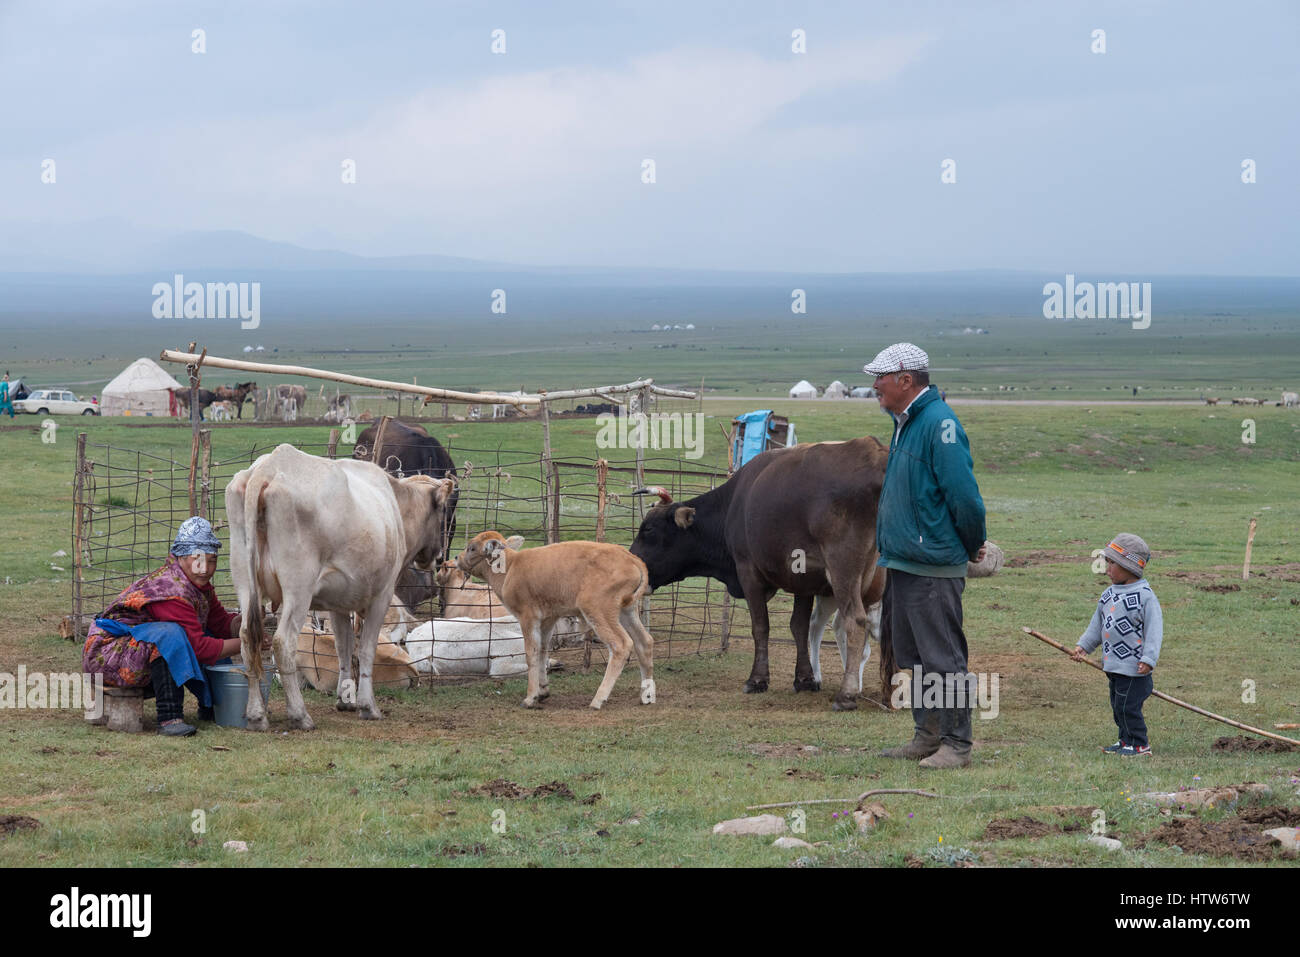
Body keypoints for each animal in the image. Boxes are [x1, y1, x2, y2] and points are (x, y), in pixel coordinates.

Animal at [224, 443, 456, 730]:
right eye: (443, 511)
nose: (438, 557)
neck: (393, 504)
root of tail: (268, 467)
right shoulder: (382, 596)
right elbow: (366, 649)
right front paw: (368, 706)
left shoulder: (338, 604)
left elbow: (344, 647)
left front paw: (346, 699)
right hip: (298, 589)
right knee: (283, 642)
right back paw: (300, 715)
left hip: (245, 583)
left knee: (247, 638)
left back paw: (256, 715)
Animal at [630, 436, 890, 710]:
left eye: (648, 529)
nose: (629, 559)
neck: (734, 502)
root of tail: (875, 453)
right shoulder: (804, 580)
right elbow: (798, 626)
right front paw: (805, 678)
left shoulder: (748, 573)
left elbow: (760, 626)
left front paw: (757, 680)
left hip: (844, 572)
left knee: (855, 621)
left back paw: (847, 693)